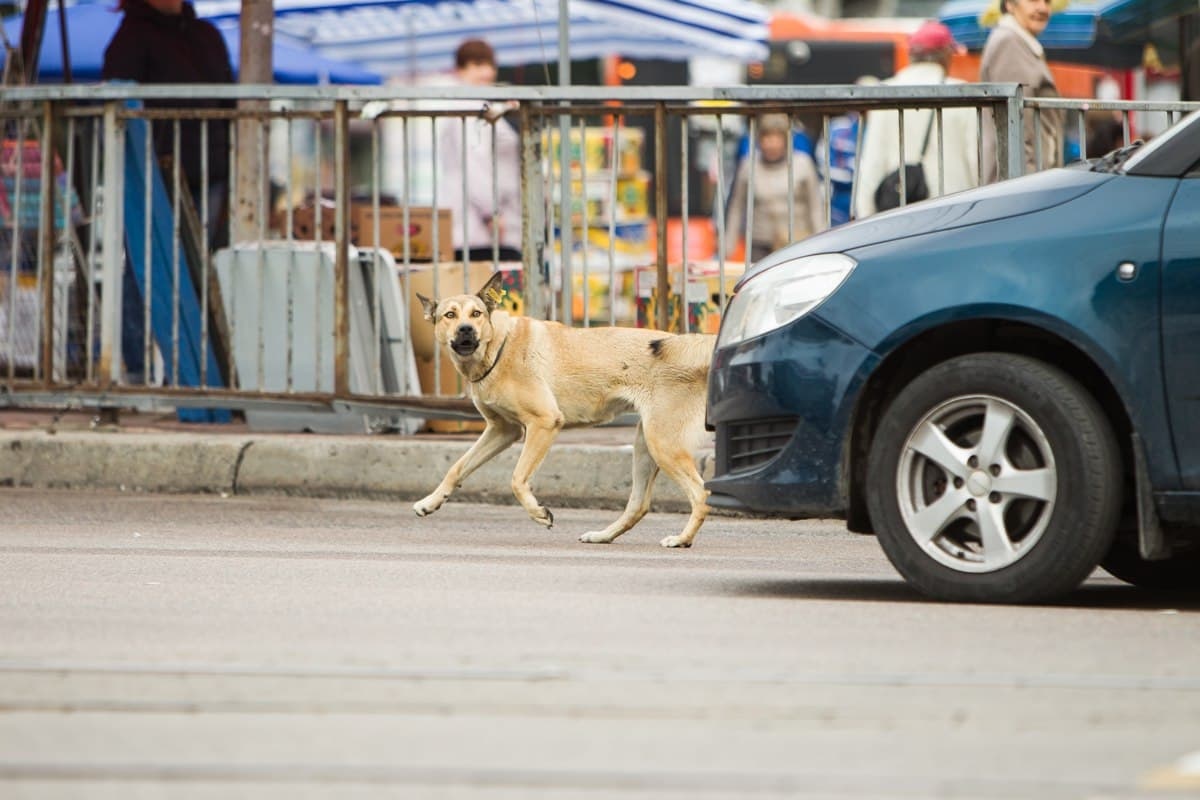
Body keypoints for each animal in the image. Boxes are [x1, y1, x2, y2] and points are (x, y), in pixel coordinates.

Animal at [415, 272, 710, 546]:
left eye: (476, 314)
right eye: (450, 315)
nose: (466, 329)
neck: (499, 346)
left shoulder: (544, 423)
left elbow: (517, 479)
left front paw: (538, 513)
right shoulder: (503, 431)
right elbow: (457, 468)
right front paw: (431, 501)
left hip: (662, 444)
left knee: (700, 494)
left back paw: (682, 539)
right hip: (645, 445)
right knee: (639, 505)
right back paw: (603, 536)